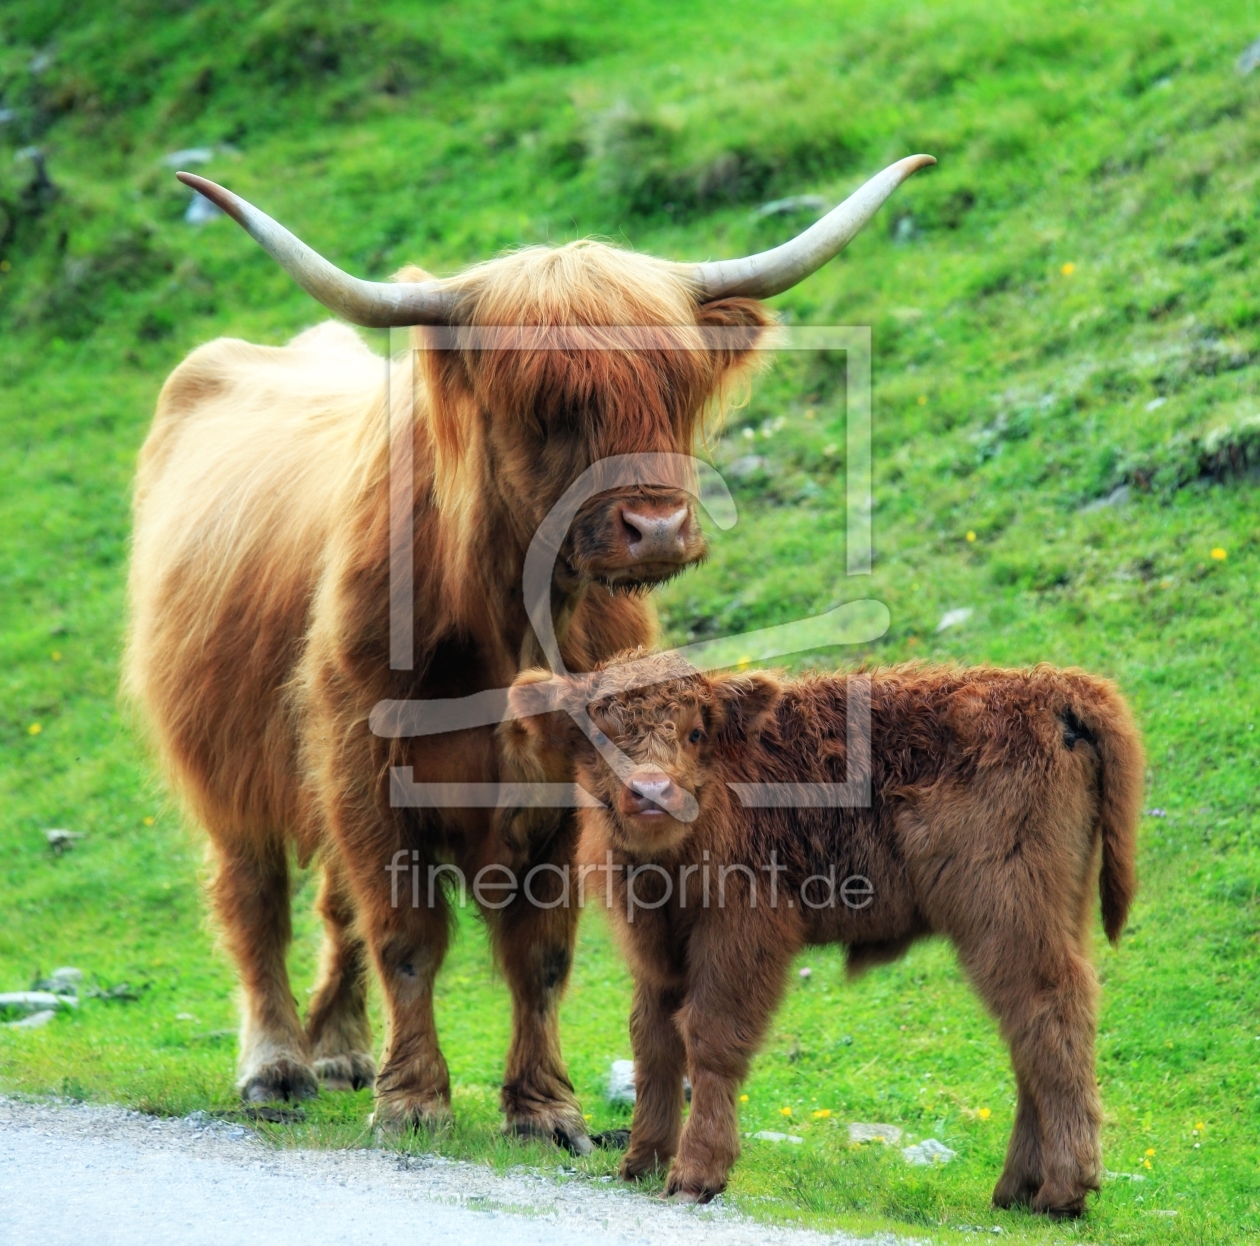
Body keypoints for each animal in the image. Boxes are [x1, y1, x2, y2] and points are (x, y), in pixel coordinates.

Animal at [504, 655, 1144, 1209]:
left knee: (1051, 1013)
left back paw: (1063, 1192)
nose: (652, 792)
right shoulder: (656, 949)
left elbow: (710, 1038)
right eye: (600, 734)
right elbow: (653, 1041)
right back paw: (1018, 1190)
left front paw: (695, 1175)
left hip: (1008, 918)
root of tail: (1052, 688)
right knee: (1028, 1033)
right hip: (1045, 920)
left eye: (694, 733)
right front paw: (641, 1161)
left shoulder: (740, 935)